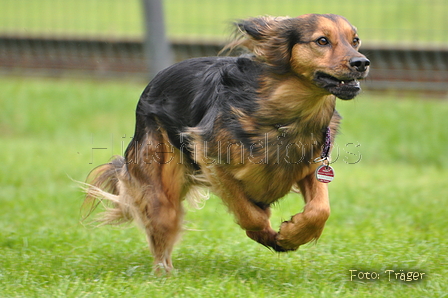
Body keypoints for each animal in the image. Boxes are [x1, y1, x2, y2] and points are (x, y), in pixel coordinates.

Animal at [85, 14, 372, 272]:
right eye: (322, 41)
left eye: (355, 40)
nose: (362, 62)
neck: (287, 114)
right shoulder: (211, 160)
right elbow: (248, 212)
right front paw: (268, 235)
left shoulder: (312, 163)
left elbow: (320, 209)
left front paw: (292, 234)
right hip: (160, 186)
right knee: (162, 229)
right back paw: (164, 275)